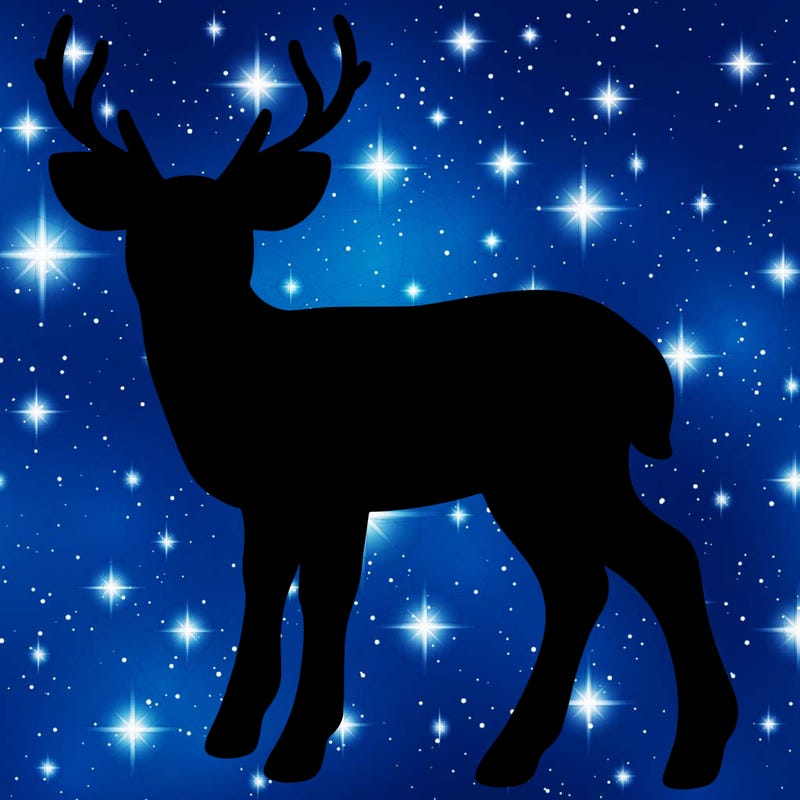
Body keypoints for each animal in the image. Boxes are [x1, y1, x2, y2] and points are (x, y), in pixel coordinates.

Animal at [36, 12, 737, 789]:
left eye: (231, 231)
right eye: (146, 228)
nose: (185, 288)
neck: (245, 377)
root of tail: (649, 363)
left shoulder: (337, 487)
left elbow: (327, 595)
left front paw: (300, 745)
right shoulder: (268, 500)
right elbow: (262, 586)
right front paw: (232, 733)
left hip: (566, 462)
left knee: (662, 558)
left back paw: (691, 753)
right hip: (531, 481)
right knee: (584, 583)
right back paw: (517, 754)